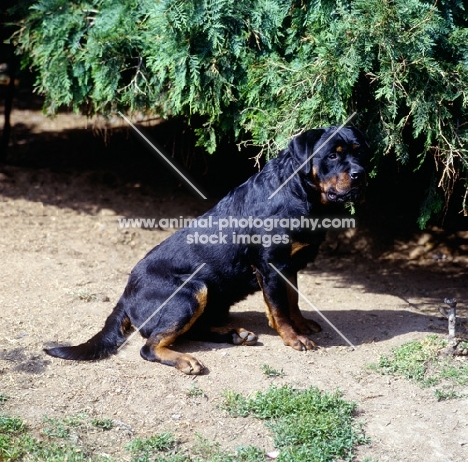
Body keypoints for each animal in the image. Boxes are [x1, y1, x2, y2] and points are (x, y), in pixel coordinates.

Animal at [46, 126, 370, 376]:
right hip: (191, 291)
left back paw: (235, 334)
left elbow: (293, 300)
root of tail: (125, 296)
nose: (360, 174)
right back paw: (187, 360)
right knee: (150, 346)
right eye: (332, 155)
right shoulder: (271, 265)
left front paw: (302, 325)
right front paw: (293, 338)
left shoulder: (290, 265)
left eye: (358, 152)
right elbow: (279, 309)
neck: (301, 193)